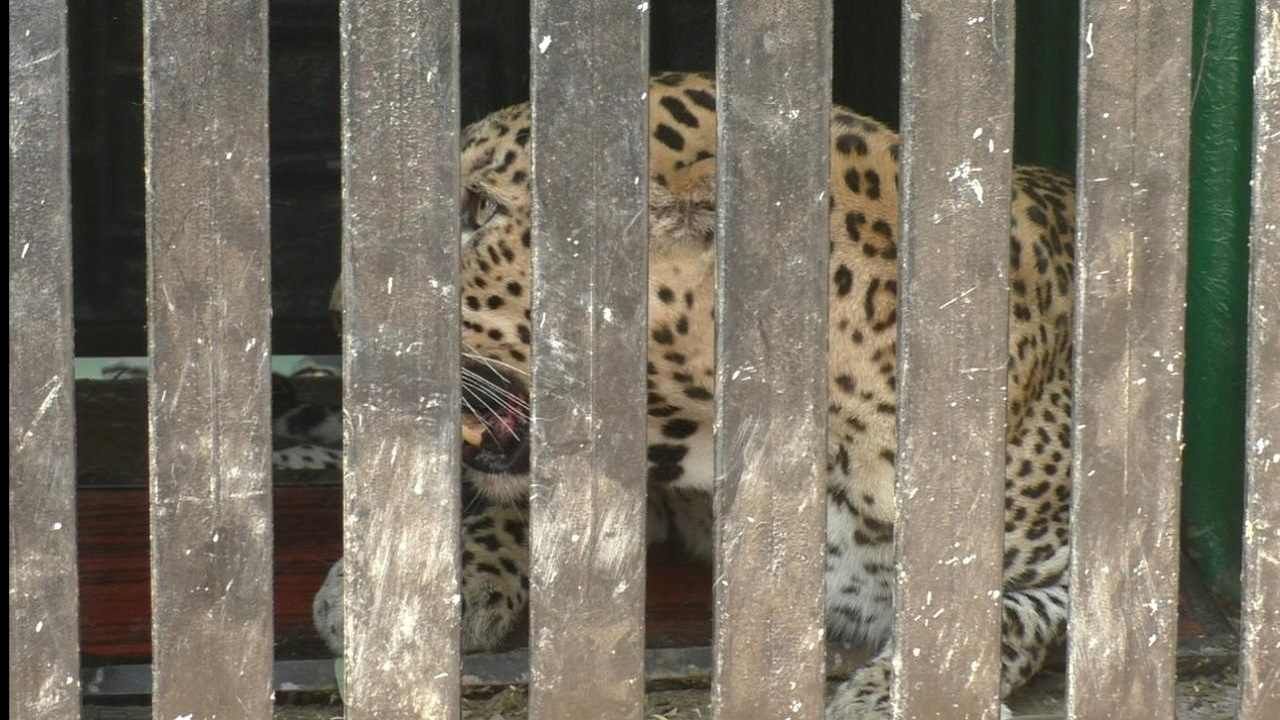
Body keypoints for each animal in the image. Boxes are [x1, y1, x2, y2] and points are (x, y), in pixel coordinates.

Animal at [304, 70, 1075, 712]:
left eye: (479, 207)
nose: (336, 314)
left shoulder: (1066, 578)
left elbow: (994, 621)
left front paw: (883, 697)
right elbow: (521, 506)